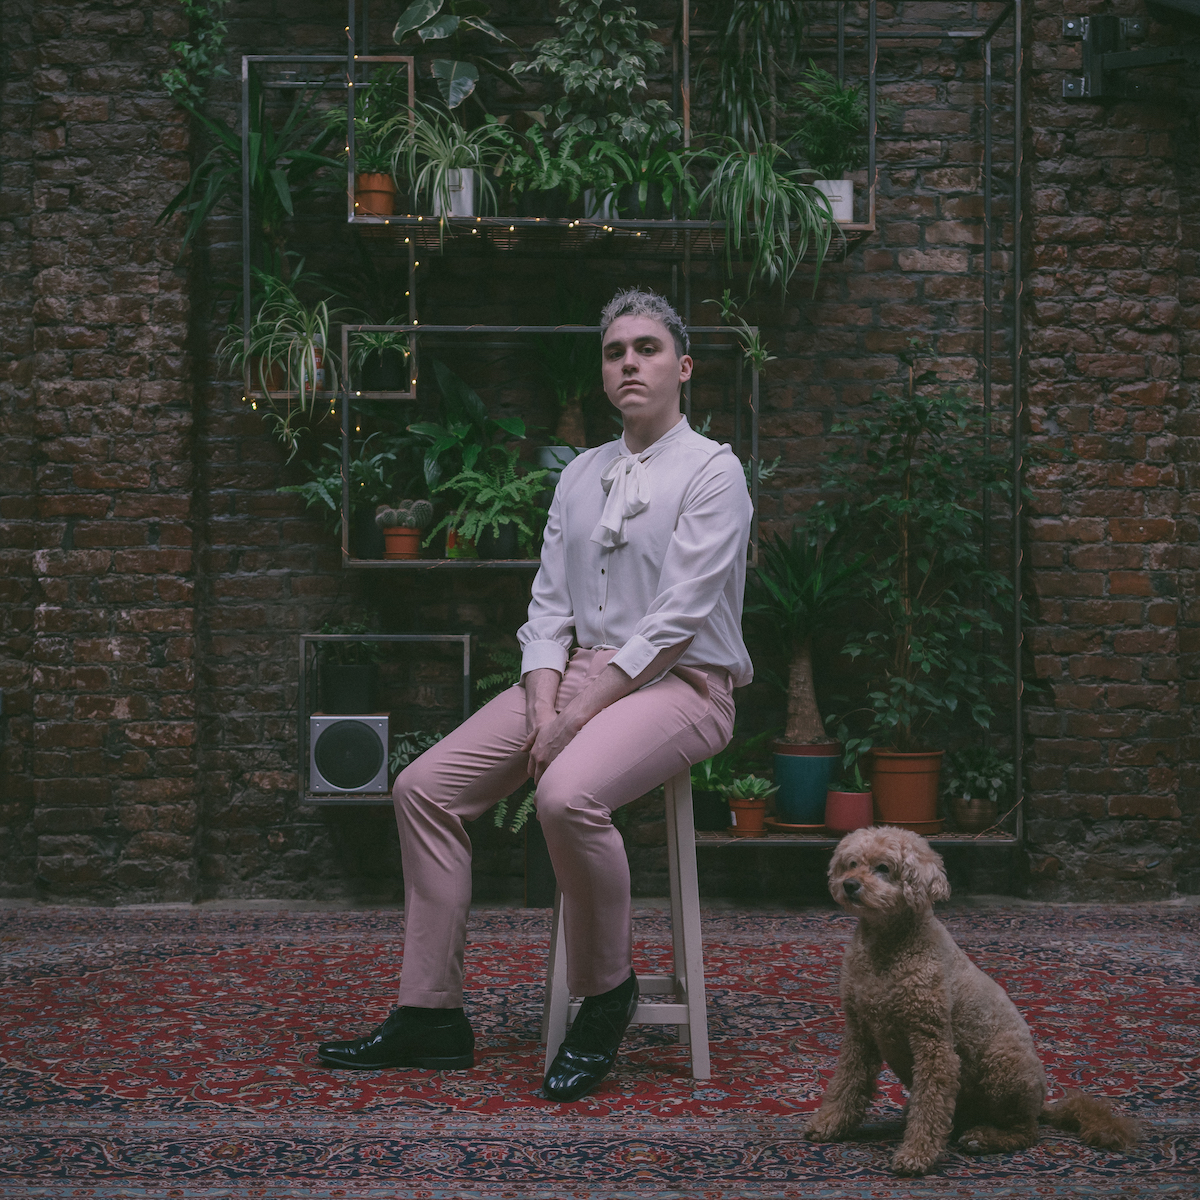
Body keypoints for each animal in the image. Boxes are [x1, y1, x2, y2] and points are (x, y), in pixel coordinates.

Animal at [806, 830, 1132, 1176]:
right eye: (851, 863)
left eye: (884, 867)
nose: (850, 884)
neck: (886, 947)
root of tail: (1042, 1105)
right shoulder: (860, 1032)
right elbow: (846, 1083)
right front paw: (829, 1124)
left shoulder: (933, 1043)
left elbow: (931, 1104)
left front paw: (917, 1155)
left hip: (1004, 1065)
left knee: (1025, 1132)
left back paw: (983, 1138)